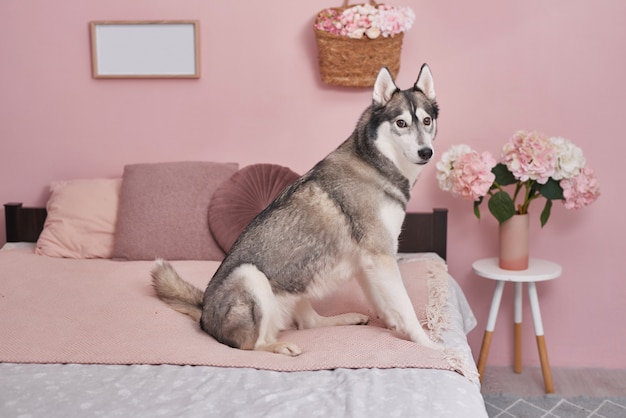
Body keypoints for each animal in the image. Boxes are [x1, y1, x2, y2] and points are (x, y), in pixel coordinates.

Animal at [152, 65, 438, 356]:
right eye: (401, 123)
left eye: (427, 121)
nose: (426, 152)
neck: (376, 164)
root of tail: (203, 315)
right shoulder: (381, 256)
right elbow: (406, 307)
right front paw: (429, 345)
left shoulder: (367, 262)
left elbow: (386, 303)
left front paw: (395, 325)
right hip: (250, 276)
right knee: (252, 346)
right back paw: (281, 347)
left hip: (299, 284)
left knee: (310, 323)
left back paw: (345, 318)